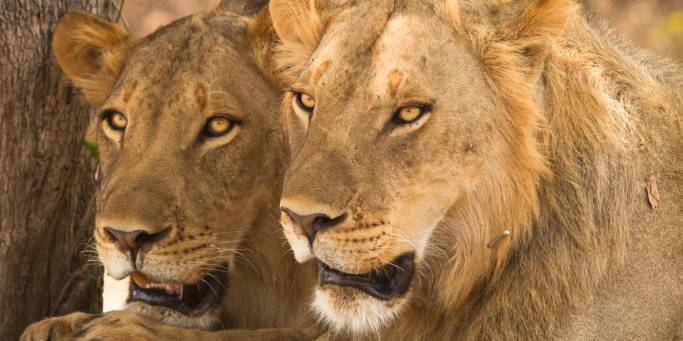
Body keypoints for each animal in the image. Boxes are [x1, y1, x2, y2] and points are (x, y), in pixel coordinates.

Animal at [21, 2, 320, 340]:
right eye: (117, 121)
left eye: (219, 125)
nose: (126, 237)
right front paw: (57, 324)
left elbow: (262, 334)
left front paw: (115, 328)